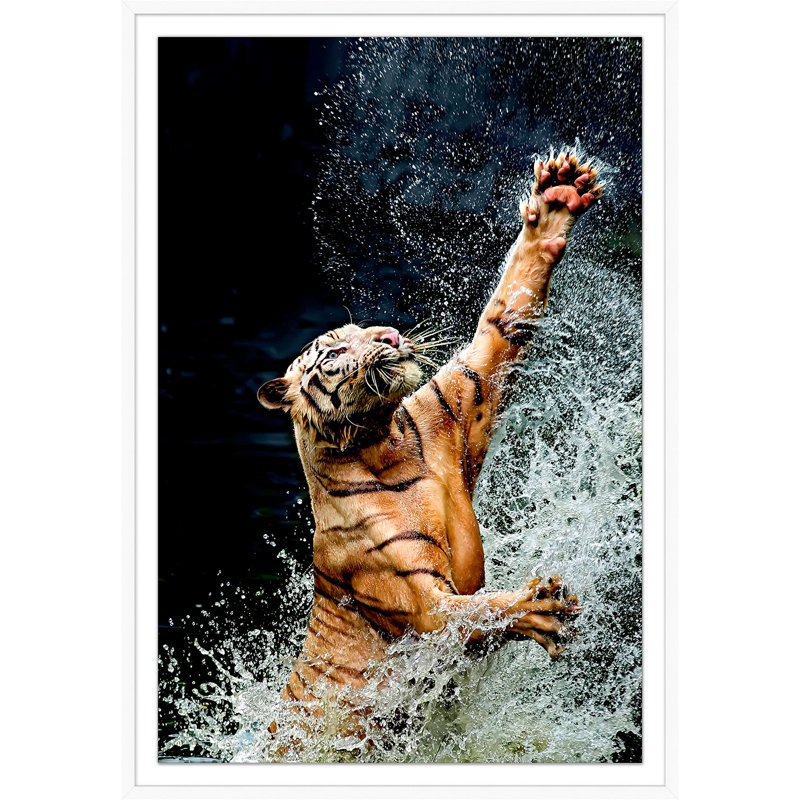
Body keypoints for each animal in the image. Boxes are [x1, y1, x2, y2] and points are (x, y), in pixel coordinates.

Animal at [257, 150, 603, 737]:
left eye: (366, 330)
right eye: (334, 352)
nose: (391, 336)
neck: (385, 443)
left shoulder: (460, 396)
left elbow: (503, 318)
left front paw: (556, 200)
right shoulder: (421, 602)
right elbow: (472, 611)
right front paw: (537, 607)